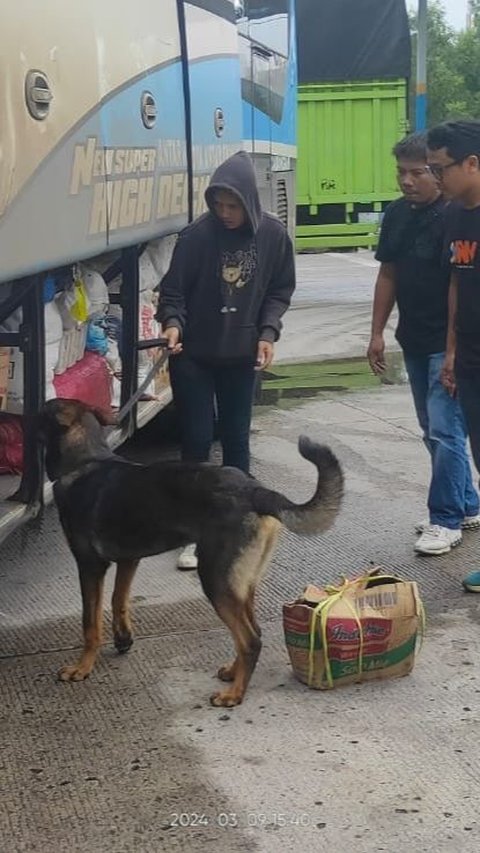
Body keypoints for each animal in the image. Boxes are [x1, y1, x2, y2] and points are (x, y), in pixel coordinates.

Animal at [39, 400, 344, 704]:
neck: (85, 460)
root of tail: (255, 490)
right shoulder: (129, 560)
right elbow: (119, 600)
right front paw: (122, 638)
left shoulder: (90, 566)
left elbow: (89, 623)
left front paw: (82, 667)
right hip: (242, 583)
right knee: (252, 630)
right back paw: (233, 673)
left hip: (216, 580)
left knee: (250, 640)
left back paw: (234, 694)